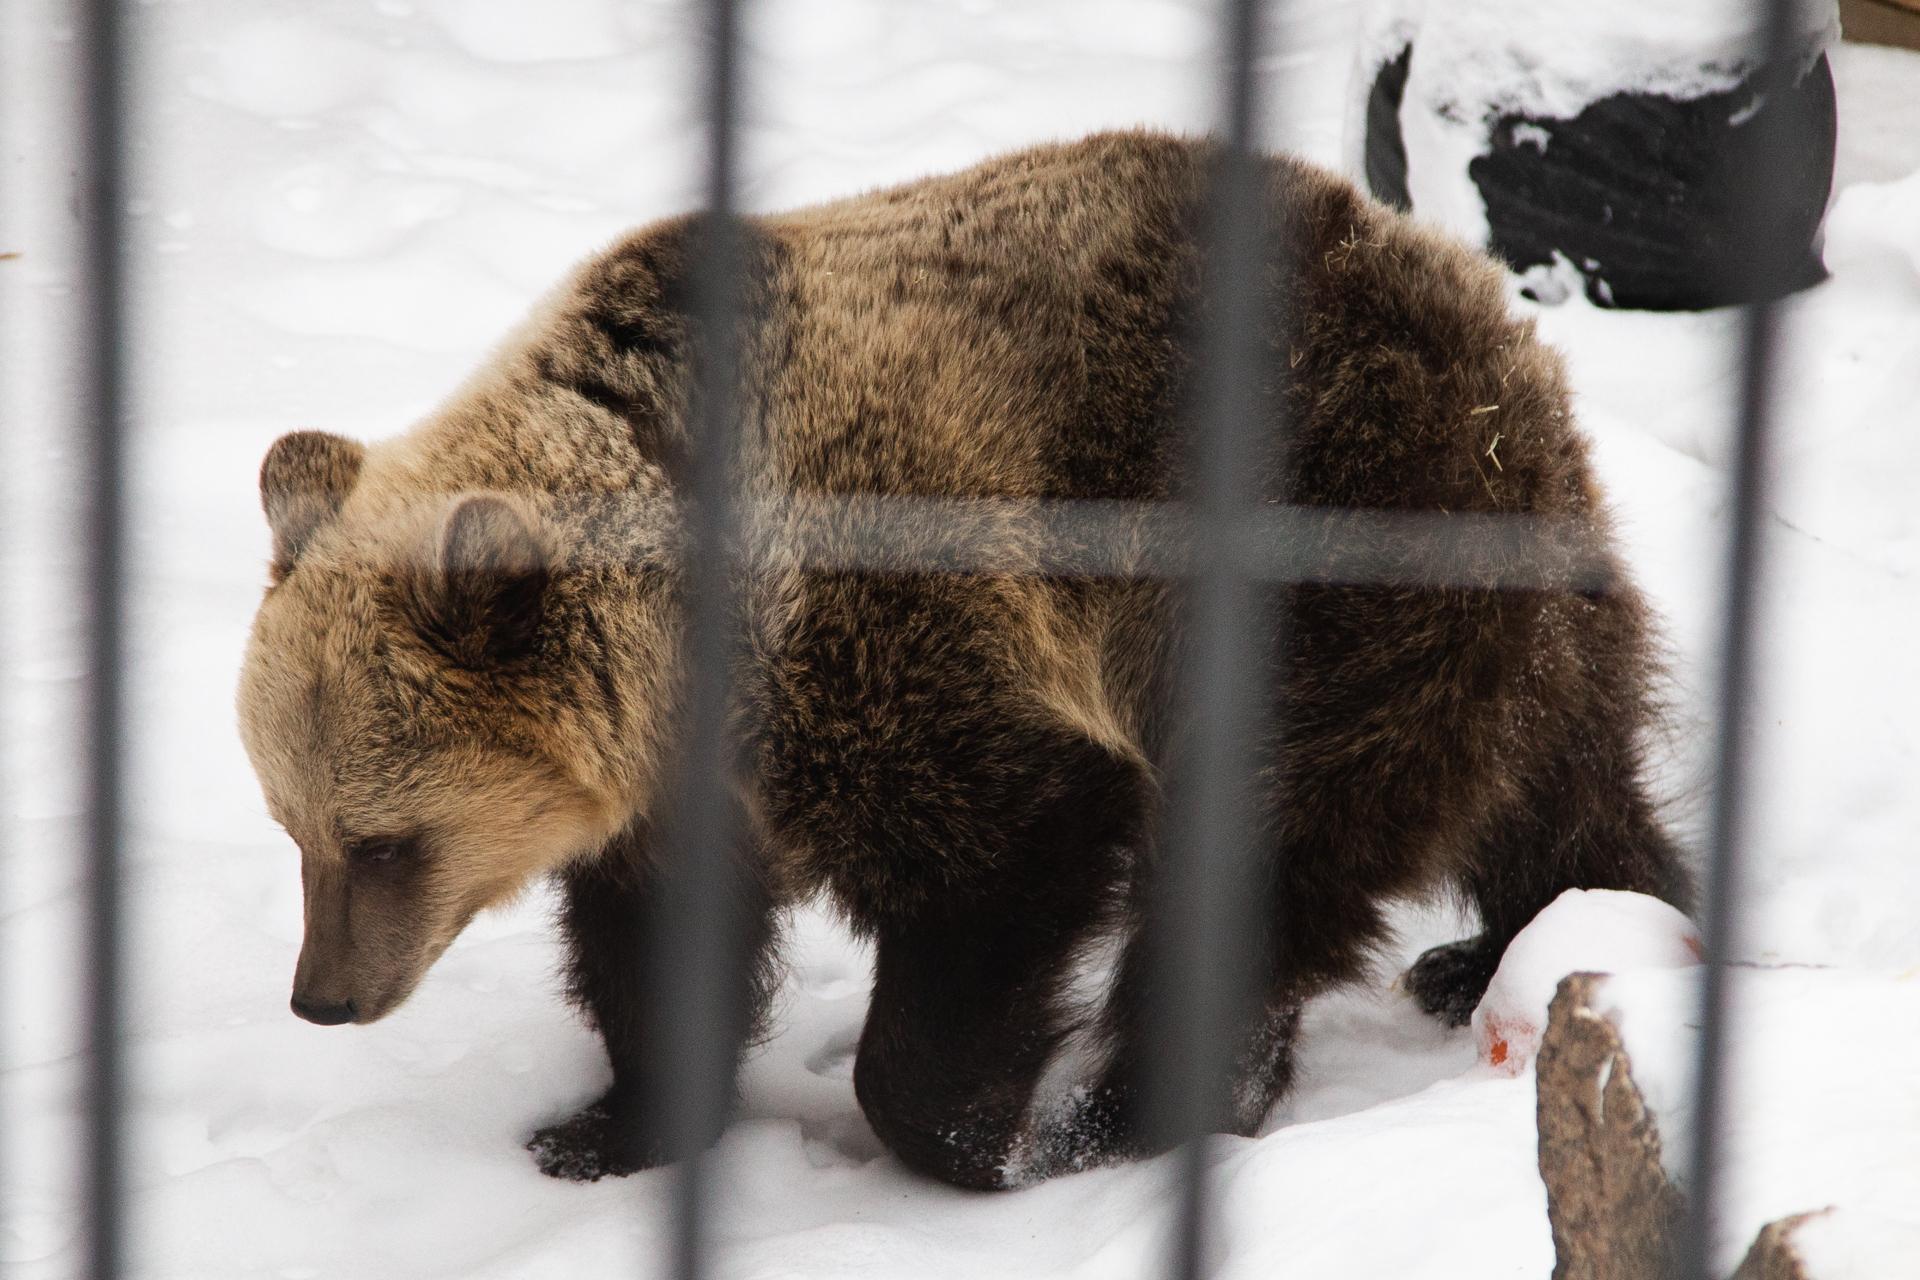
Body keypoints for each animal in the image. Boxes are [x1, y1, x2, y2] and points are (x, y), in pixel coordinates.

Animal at [240, 130, 1697, 1189]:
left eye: (384, 840)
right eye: (293, 828)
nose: (321, 998)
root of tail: (1462, 287)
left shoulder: (897, 625)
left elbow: (1008, 847)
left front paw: (981, 1135)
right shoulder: (682, 780)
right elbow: (657, 940)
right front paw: (607, 1128)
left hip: (1333, 541)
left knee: (1272, 833)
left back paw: (1141, 1108)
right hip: (1497, 576)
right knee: (1556, 781)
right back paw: (1546, 941)